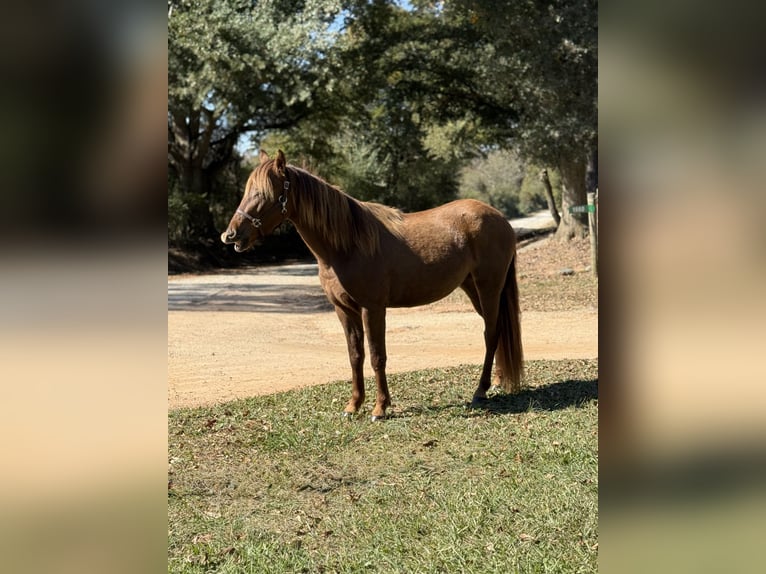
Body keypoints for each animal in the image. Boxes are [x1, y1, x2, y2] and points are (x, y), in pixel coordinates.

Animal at [221, 149, 523, 420]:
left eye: (263, 194)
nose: (230, 235)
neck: (346, 246)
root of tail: (500, 218)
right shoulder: (344, 310)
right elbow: (355, 355)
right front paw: (353, 405)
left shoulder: (373, 308)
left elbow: (378, 356)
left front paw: (380, 408)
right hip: (473, 288)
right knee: (496, 331)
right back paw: (497, 382)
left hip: (488, 288)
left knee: (490, 333)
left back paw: (480, 390)